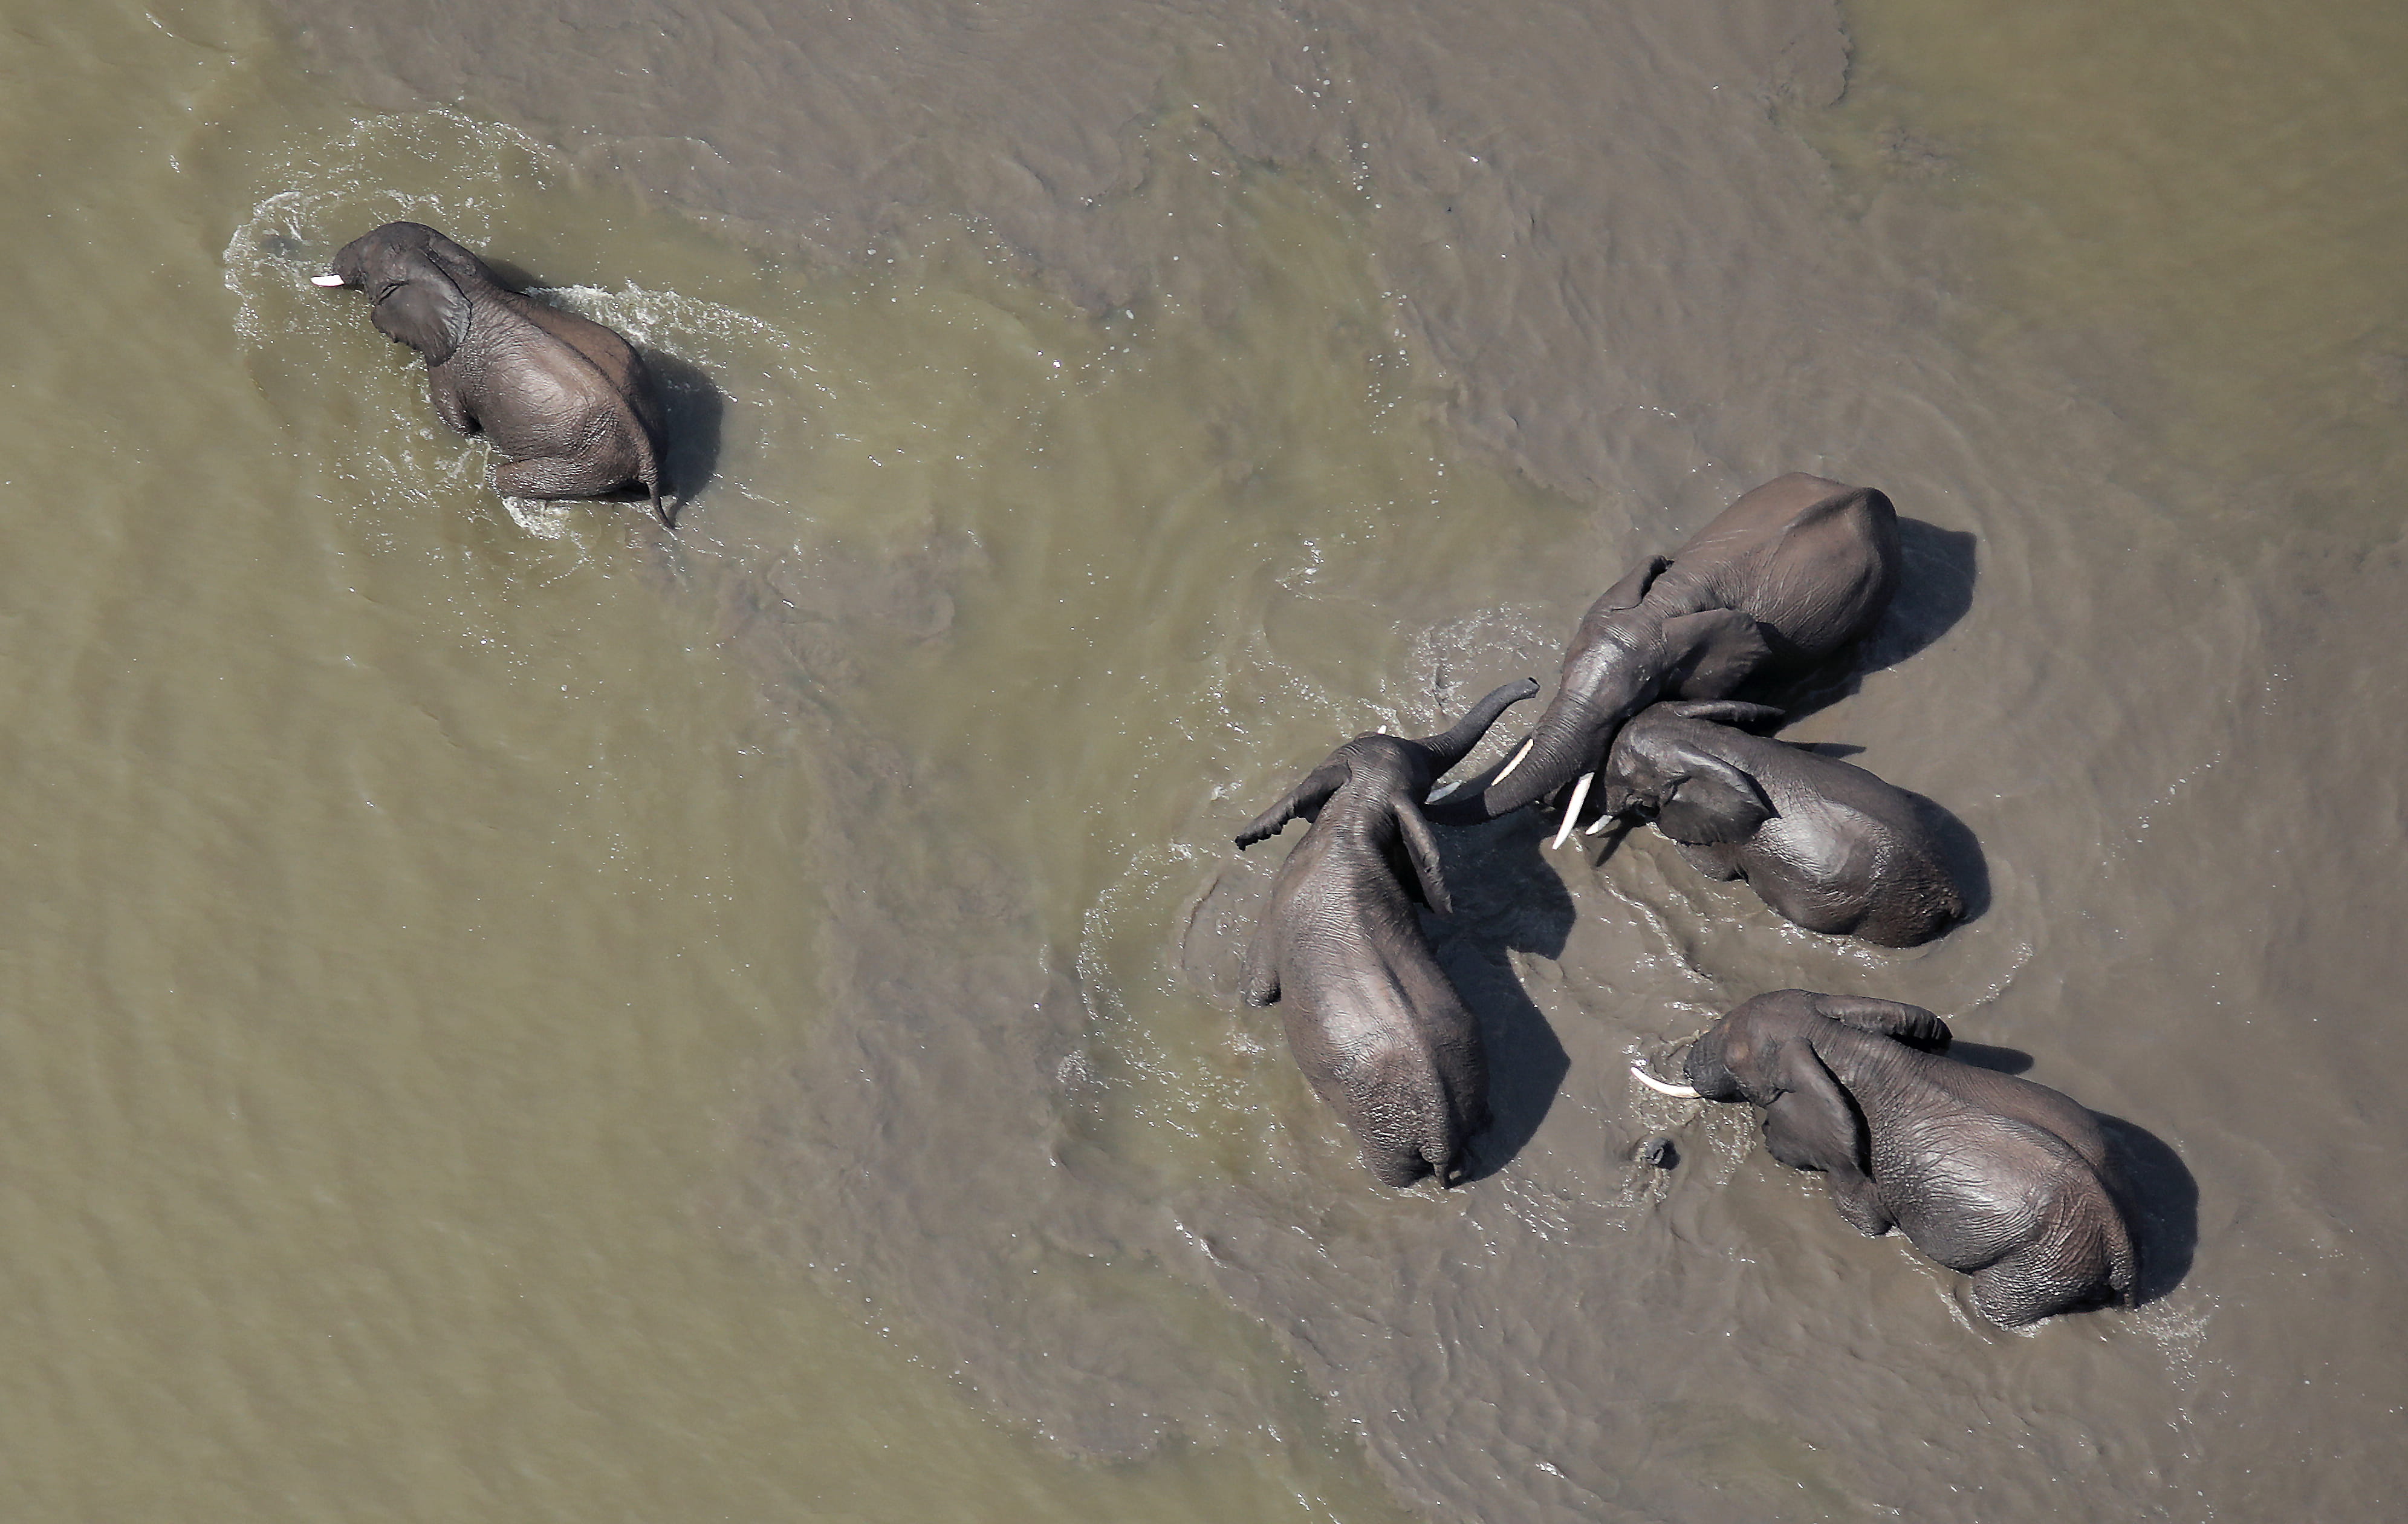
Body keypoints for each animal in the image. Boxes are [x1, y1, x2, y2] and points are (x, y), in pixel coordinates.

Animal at [314, 222, 672, 525]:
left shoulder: (449, 365)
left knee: (503, 477)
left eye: (364, 265)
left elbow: (458, 424)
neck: (450, 274)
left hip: (586, 460)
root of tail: (645, 452)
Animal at [1235, 678, 1539, 1187]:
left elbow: (1257, 990)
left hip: (1380, 1133)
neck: (1357, 812)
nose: (1535, 685)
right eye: (1423, 787)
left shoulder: (1277, 903)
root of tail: (1439, 1133)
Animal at [1592, 699, 1968, 946]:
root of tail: (1951, 895)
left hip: (1889, 913)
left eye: (1625, 777)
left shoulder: (1724, 838)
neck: (1711, 740)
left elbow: (1709, 868)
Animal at [1633, 989, 2138, 1326]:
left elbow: (1863, 1217)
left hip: (2049, 1258)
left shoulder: (1855, 1169)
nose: (1684, 1066)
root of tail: (2122, 1242)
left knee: (1993, 1301)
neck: (1833, 1038)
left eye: (1733, 1058)